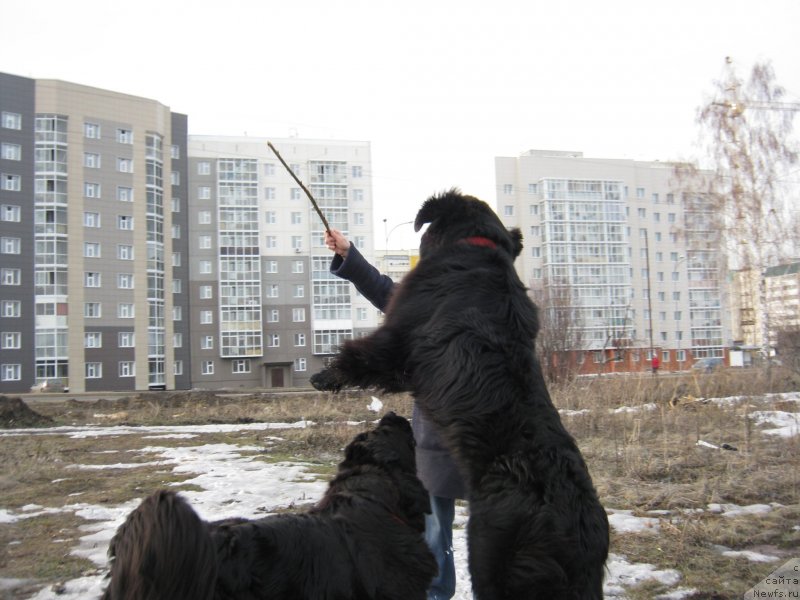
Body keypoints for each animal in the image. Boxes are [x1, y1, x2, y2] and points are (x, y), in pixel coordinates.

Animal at [310, 189, 608, 600]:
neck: (476, 244)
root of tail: (580, 531)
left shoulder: (400, 339)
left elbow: (362, 356)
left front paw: (323, 376)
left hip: (489, 556)